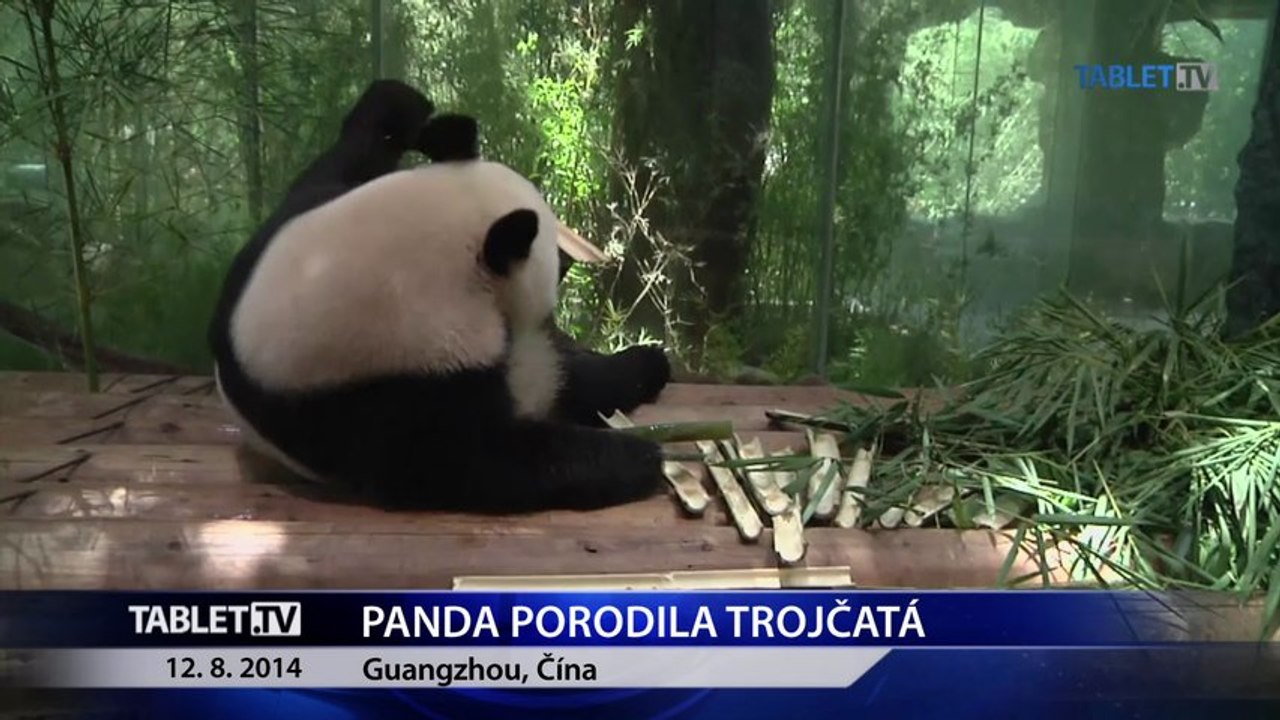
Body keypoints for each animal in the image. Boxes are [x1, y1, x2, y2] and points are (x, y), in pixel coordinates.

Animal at [208, 80, 671, 512]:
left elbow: (344, 159)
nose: (567, 261)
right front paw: (643, 456)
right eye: (549, 257)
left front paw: (407, 107)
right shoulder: (379, 390)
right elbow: (461, 462)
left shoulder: (289, 224)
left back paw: (647, 364)